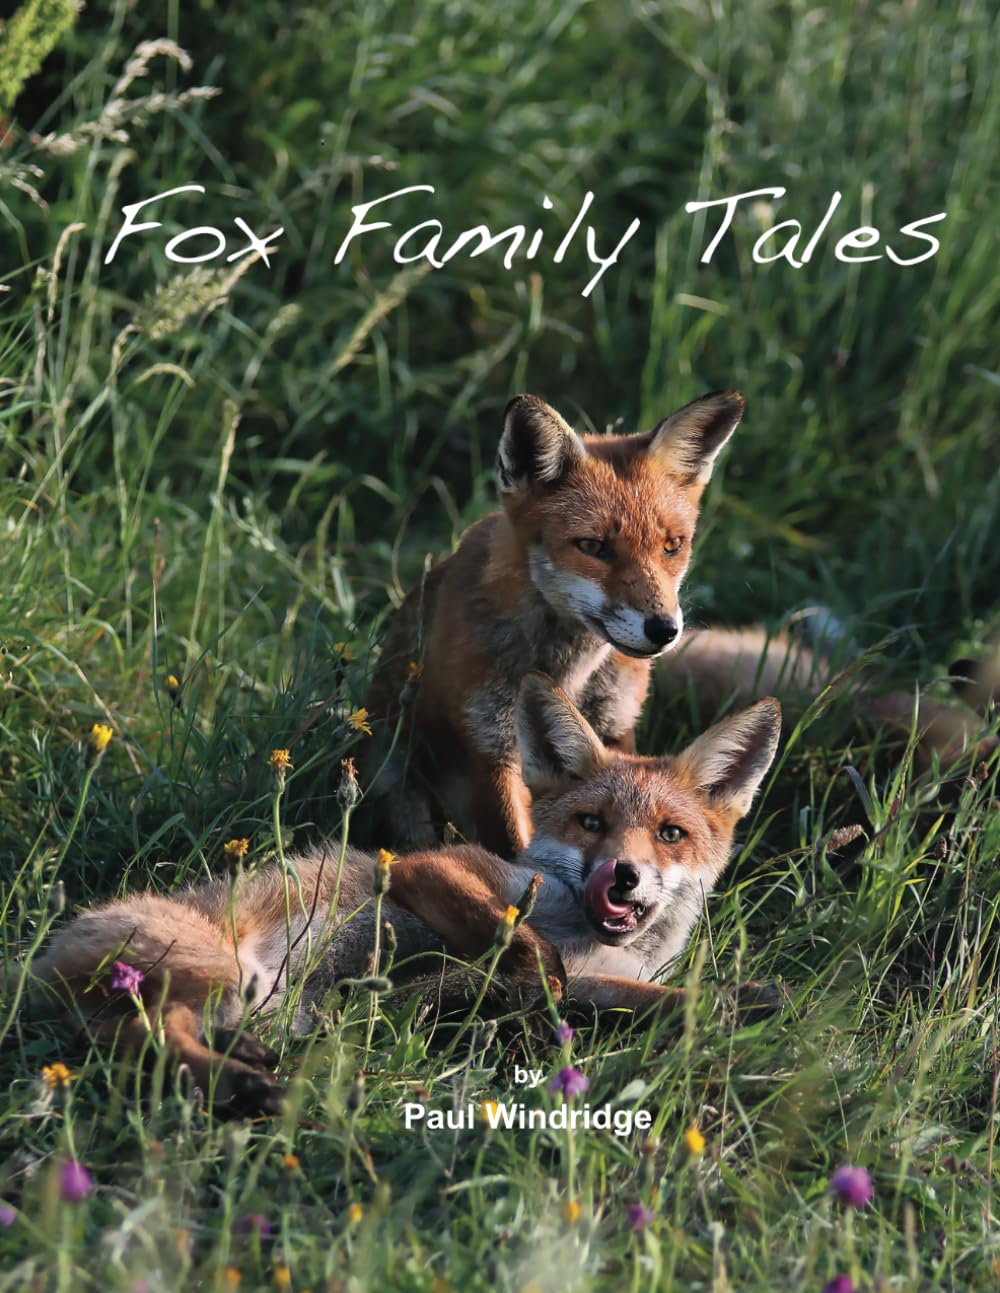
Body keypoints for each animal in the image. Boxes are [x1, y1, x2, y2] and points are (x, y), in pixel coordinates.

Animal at [22, 674, 781, 1115]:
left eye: (670, 834)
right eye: (591, 823)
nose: (622, 873)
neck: (593, 936)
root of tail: (35, 961)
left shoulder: (608, 978)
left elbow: (670, 999)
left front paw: (741, 1000)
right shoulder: (432, 868)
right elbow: (531, 953)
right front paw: (503, 998)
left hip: (249, 994)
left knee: (138, 1035)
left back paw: (249, 1060)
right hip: (220, 969)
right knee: (139, 1038)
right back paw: (247, 1083)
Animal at [363, 389, 748, 857]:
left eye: (673, 546)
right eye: (593, 547)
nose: (664, 630)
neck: (569, 672)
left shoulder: (616, 727)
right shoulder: (490, 745)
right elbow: (512, 846)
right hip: (393, 771)